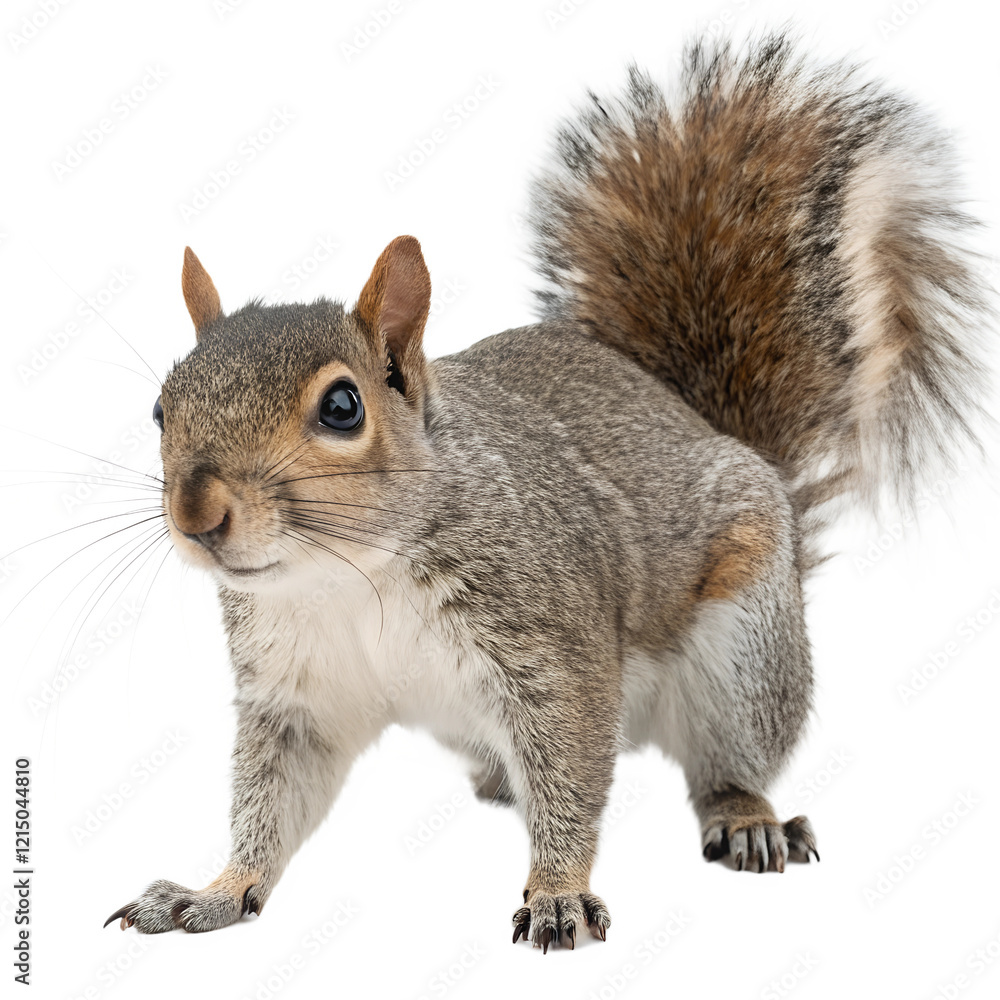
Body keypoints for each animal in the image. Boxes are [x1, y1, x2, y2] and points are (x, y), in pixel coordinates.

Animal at [104, 33, 991, 951]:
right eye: (161, 406)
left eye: (343, 407)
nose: (196, 514)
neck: (348, 575)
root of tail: (718, 434)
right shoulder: (297, 696)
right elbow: (271, 802)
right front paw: (215, 889)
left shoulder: (552, 648)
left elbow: (570, 771)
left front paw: (559, 892)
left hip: (743, 649)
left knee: (729, 758)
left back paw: (747, 818)